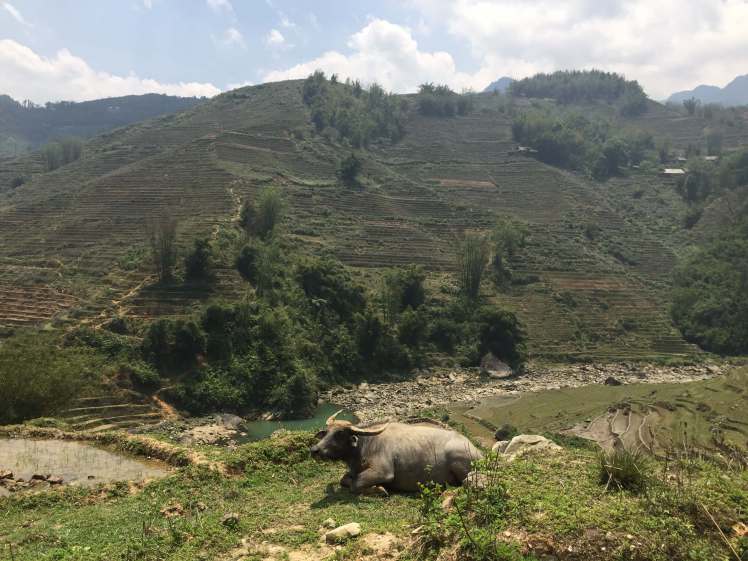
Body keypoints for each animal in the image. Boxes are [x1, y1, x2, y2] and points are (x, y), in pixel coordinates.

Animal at [310, 410, 483, 494]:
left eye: (340, 433)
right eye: (326, 432)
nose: (314, 450)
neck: (365, 446)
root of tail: (477, 451)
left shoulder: (383, 472)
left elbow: (355, 484)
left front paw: (379, 489)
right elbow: (344, 479)